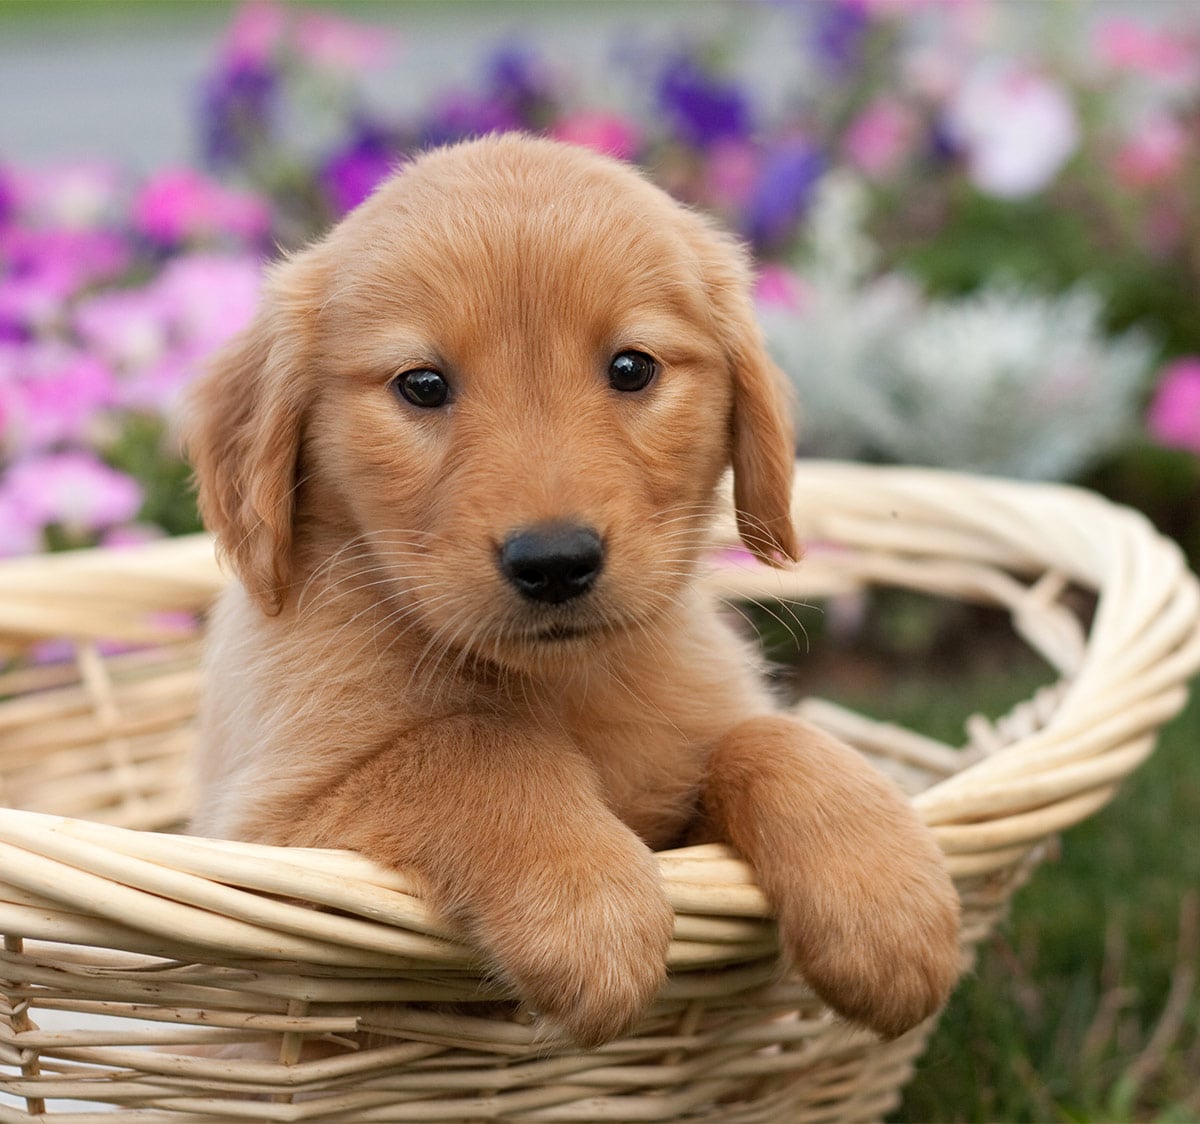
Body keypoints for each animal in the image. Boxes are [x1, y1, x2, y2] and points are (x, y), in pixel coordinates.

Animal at [184, 136, 955, 1046]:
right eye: (421, 385)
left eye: (631, 367)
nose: (554, 562)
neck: (563, 685)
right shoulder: (270, 829)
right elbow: (471, 746)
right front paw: (590, 905)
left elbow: (768, 738)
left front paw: (887, 902)